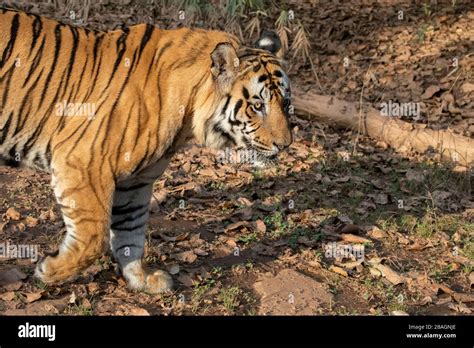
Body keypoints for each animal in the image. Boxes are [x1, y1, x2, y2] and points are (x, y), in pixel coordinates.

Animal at [0, 7, 292, 294]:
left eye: (286, 103)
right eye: (257, 106)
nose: (285, 144)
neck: (187, 112)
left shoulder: (136, 180)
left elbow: (131, 231)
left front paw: (141, 278)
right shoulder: (84, 163)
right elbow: (94, 237)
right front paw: (49, 271)